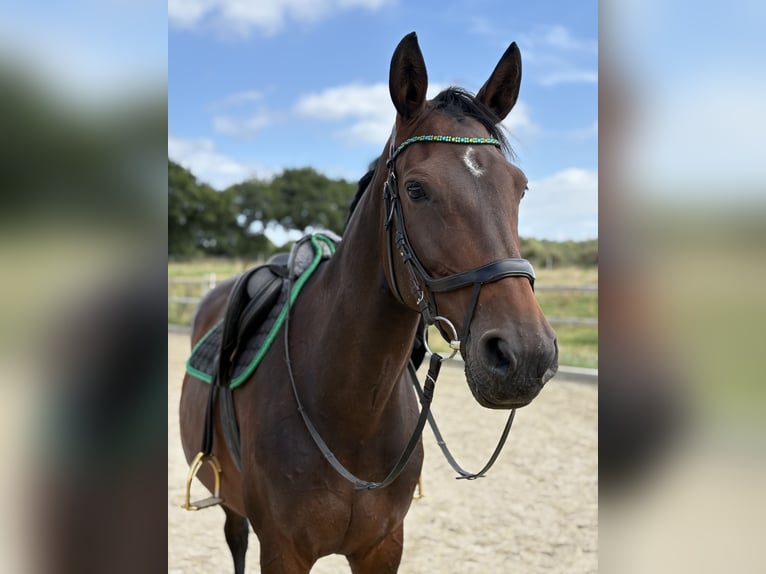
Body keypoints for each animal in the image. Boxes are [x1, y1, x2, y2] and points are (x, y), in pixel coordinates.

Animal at [179, 32, 558, 573]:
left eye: (520, 188)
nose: (526, 354)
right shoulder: (282, 550)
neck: (351, 411)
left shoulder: (383, 547)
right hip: (231, 503)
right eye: (416, 189)